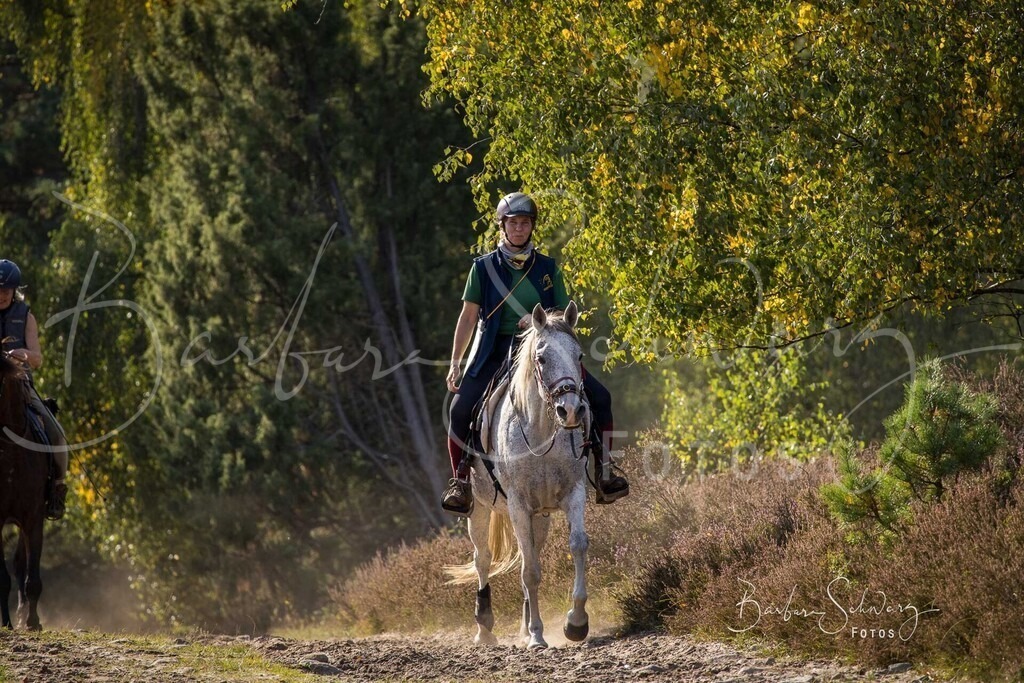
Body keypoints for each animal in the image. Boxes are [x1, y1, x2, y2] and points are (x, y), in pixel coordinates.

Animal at [447, 301, 591, 649]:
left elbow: (577, 545)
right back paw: (485, 627)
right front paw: (537, 635)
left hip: (540, 515)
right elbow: (530, 572)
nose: (571, 411)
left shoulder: (574, 493)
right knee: (483, 559)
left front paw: (576, 622)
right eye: (541, 358)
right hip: (479, 508)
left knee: (531, 552)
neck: (541, 431)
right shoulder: (518, 505)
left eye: (579, 355)